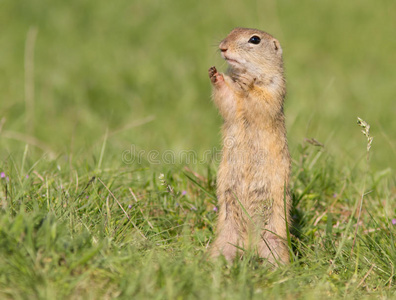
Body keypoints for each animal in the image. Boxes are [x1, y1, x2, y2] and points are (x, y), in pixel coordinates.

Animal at [207, 27, 290, 264]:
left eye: (255, 39)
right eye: (231, 30)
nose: (223, 47)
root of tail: (248, 245)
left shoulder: (274, 87)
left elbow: (261, 101)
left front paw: (248, 82)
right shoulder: (234, 100)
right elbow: (229, 101)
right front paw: (215, 74)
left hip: (275, 238)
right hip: (224, 238)